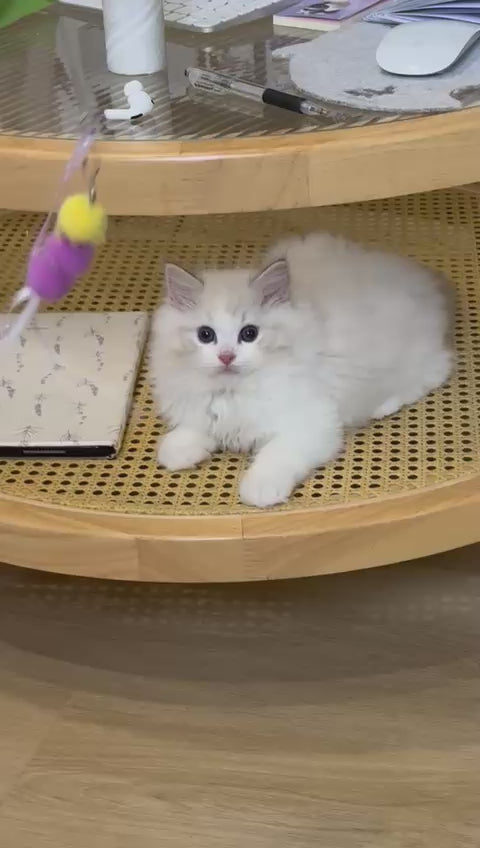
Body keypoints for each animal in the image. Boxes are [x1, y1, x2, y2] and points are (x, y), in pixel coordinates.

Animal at [150, 233, 453, 508]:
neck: (233, 390)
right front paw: (177, 450)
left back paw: (382, 406)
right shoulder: (205, 410)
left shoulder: (310, 423)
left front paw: (259, 490)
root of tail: (423, 279)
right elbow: (194, 428)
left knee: (434, 371)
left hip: (413, 360)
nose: (226, 356)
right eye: (205, 335)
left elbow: (275, 455)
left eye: (249, 334)